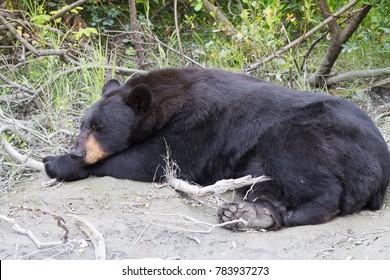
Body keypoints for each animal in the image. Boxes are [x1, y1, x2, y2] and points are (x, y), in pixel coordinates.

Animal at [43, 68, 390, 230]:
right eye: (83, 125)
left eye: (99, 128)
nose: (77, 152)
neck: (169, 102)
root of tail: (382, 169)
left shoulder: (198, 124)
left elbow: (155, 160)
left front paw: (56, 162)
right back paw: (248, 214)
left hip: (320, 135)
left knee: (297, 161)